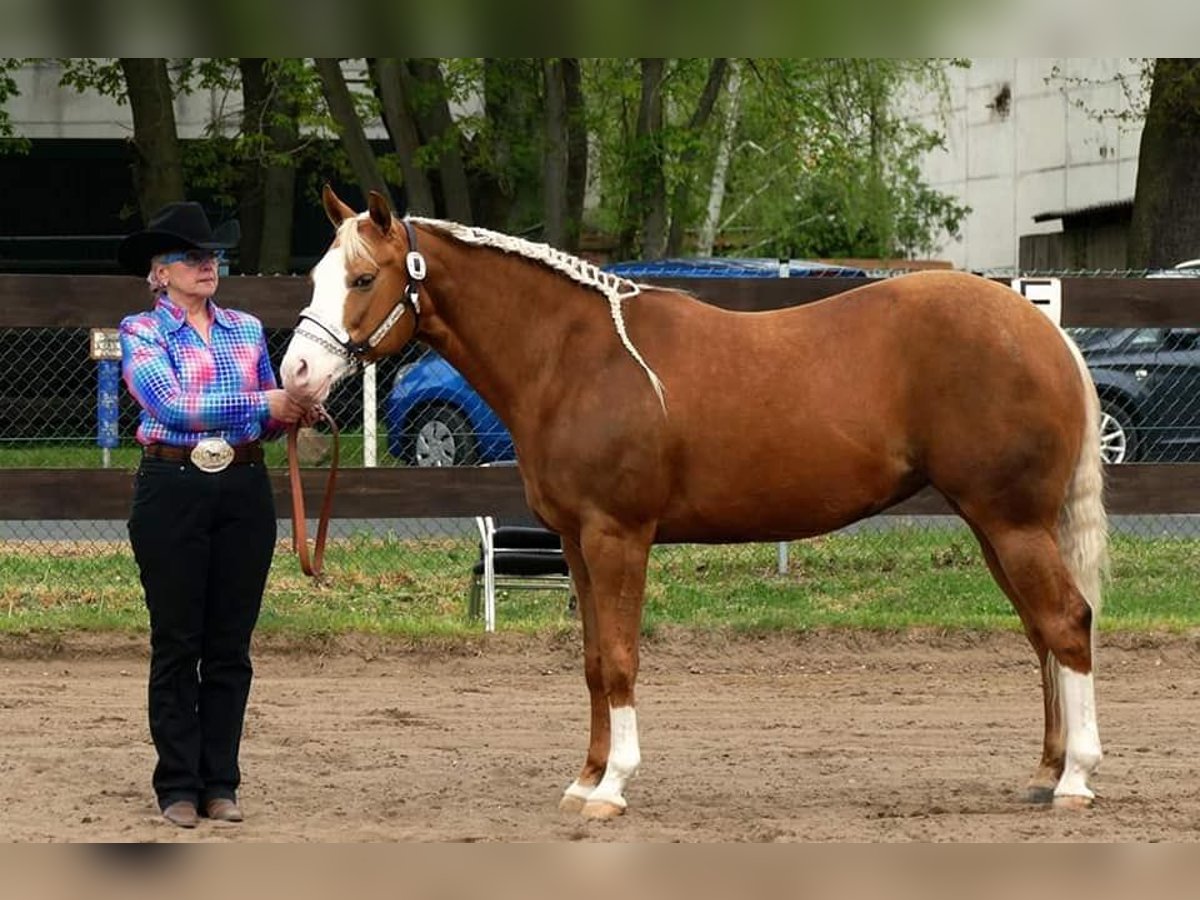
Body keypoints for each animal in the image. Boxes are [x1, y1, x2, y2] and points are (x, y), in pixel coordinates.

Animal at [278, 187, 1104, 820]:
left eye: (362, 279)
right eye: (316, 275)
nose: (295, 374)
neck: (575, 358)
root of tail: (1044, 332)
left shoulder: (617, 536)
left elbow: (619, 659)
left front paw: (612, 788)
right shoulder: (575, 542)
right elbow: (590, 662)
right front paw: (583, 779)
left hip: (1011, 522)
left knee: (1067, 624)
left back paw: (1076, 779)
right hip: (996, 526)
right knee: (1041, 635)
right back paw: (1045, 772)